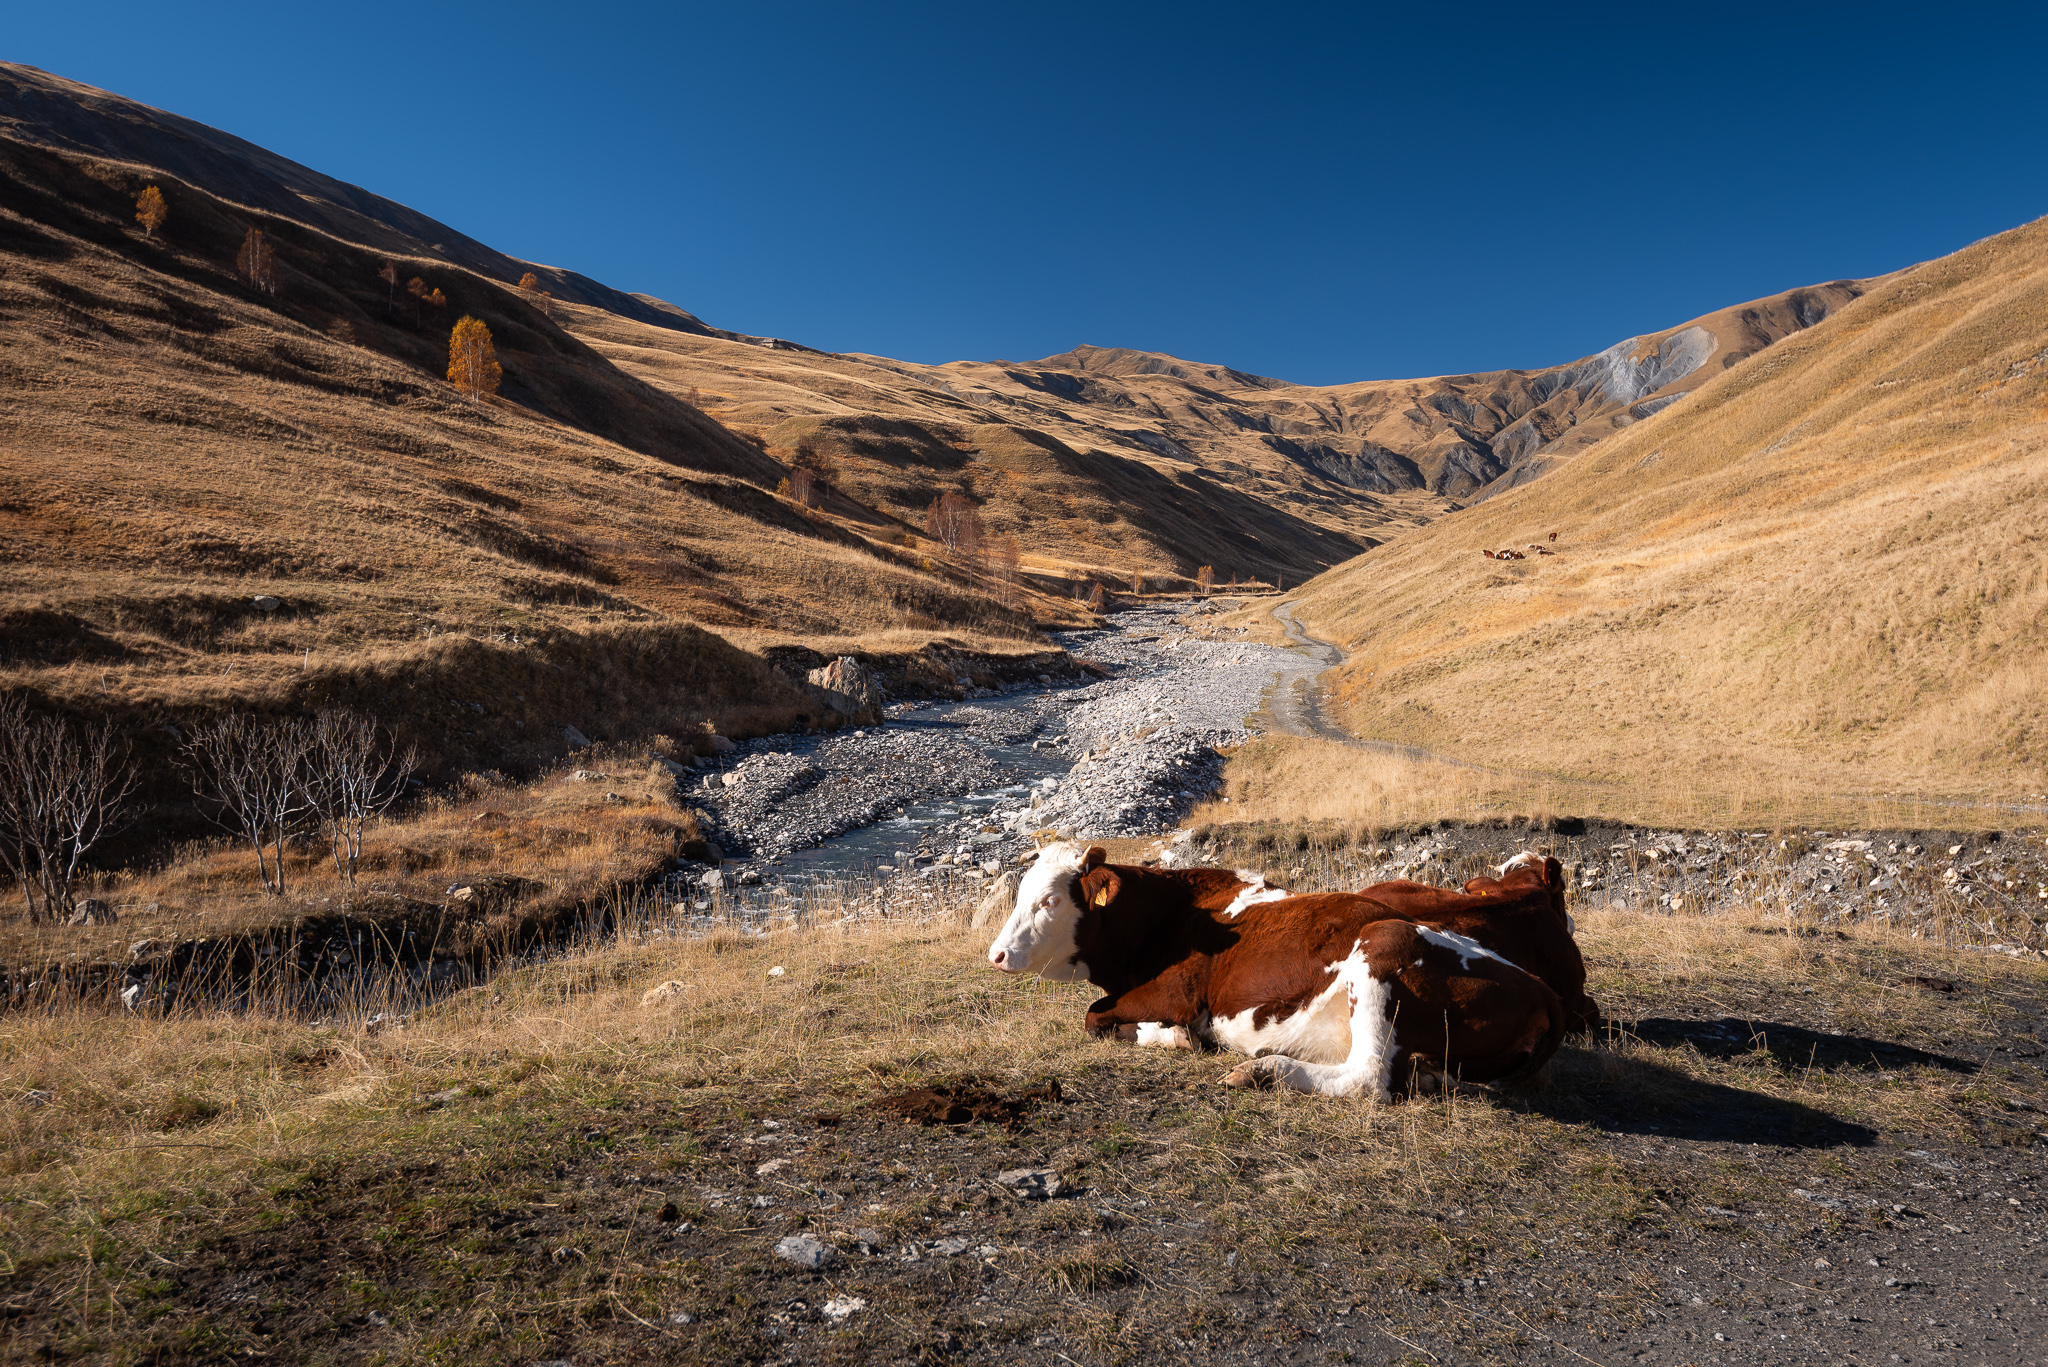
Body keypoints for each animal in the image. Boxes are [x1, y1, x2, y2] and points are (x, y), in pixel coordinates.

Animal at [983, 844, 1556, 1098]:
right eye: (1020, 893)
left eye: (1050, 901)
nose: (996, 954)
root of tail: (1541, 991)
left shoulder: (1175, 994)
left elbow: (1095, 1016)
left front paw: (1175, 1038)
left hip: (1382, 948)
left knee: (1368, 1077)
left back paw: (1262, 1069)